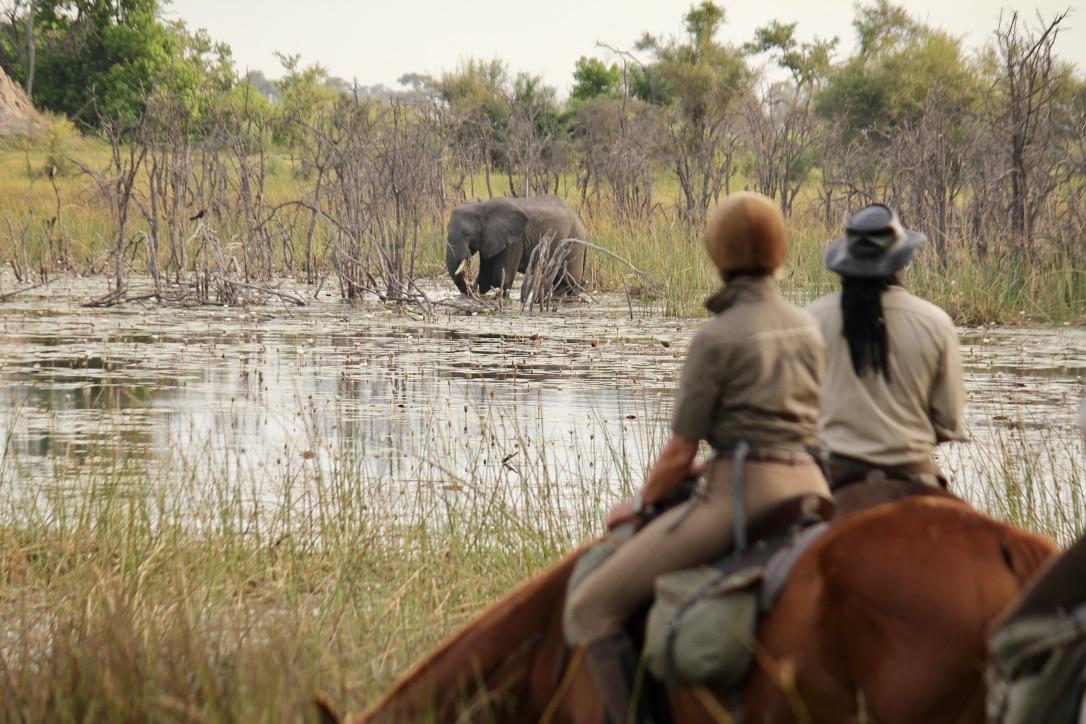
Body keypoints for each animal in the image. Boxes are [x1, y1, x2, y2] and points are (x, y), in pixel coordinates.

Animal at [445, 195, 590, 297]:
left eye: (467, 234)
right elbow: (485, 276)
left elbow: (501, 275)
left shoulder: (515, 240)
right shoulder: (489, 239)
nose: (468, 286)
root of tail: (582, 223)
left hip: (574, 243)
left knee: (570, 283)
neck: (481, 207)